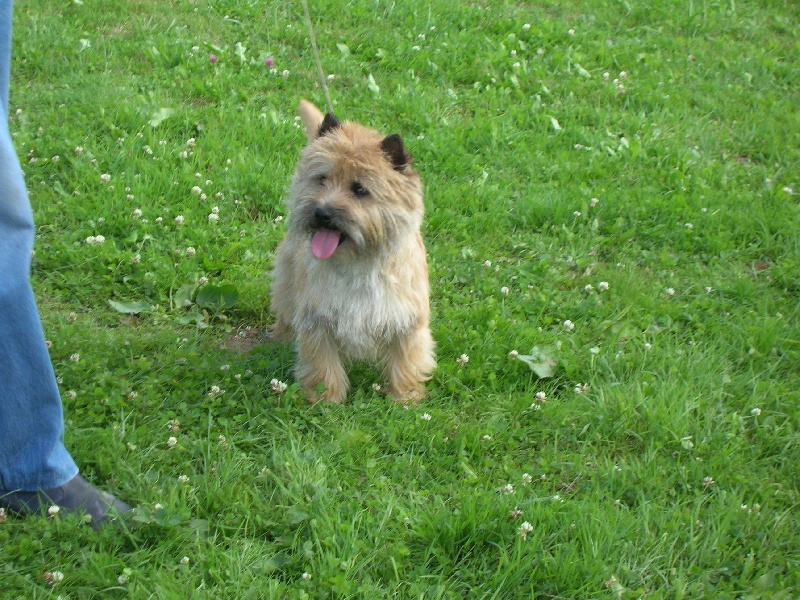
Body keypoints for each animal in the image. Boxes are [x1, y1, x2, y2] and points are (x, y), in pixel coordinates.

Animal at [268, 101, 434, 406]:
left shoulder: (406, 320)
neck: (359, 263)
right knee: (285, 308)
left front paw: (405, 397)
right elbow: (323, 363)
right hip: (287, 279)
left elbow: (405, 359)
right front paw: (325, 399)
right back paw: (281, 337)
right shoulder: (317, 319)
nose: (322, 213)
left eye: (360, 189)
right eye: (322, 179)